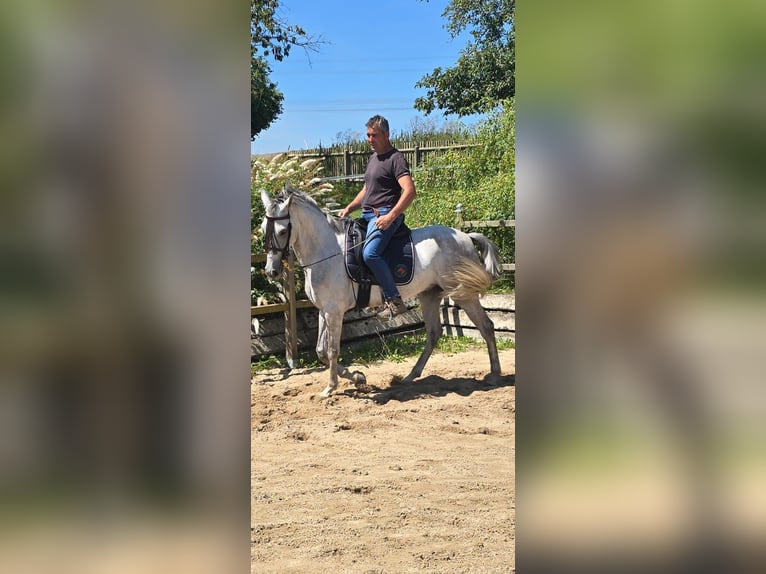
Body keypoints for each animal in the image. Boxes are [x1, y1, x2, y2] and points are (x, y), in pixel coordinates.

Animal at [260, 187, 508, 398]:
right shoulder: (324, 310)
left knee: (486, 326)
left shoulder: (334, 312)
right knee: (434, 333)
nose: (271, 271)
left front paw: (330, 388)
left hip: (462, 294)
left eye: (283, 230)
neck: (327, 251)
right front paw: (358, 377)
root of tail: (465, 236)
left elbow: (331, 350)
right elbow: (321, 350)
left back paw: (494, 375)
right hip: (430, 294)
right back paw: (410, 377)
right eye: (263, 229)